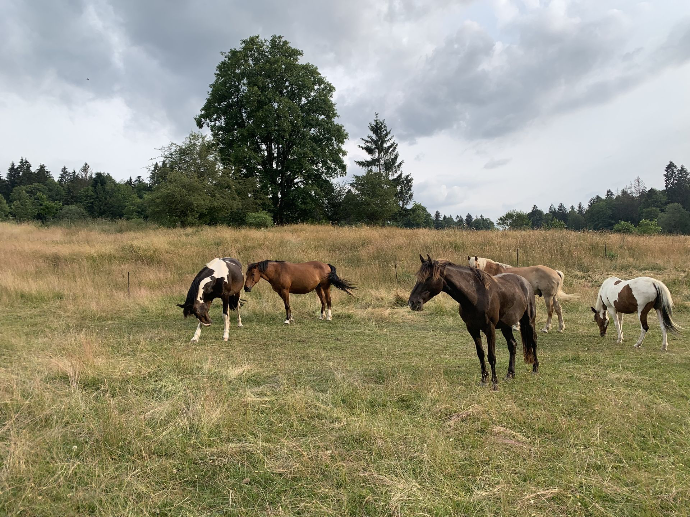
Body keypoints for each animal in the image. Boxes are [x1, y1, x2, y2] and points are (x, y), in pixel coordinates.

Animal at [409, 255, 538, 390]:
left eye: (429, 277)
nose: (412, 302)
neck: (476, 296)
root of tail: (525, 282)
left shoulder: (489, 329)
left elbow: (491, 356)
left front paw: (494, 383)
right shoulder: (472, 329)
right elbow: (480, 354)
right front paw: (484, 379)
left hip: (529, 321)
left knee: (534, 341)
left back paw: (535, 369)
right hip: (505, 326)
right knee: (512, 344)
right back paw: (510, 374)